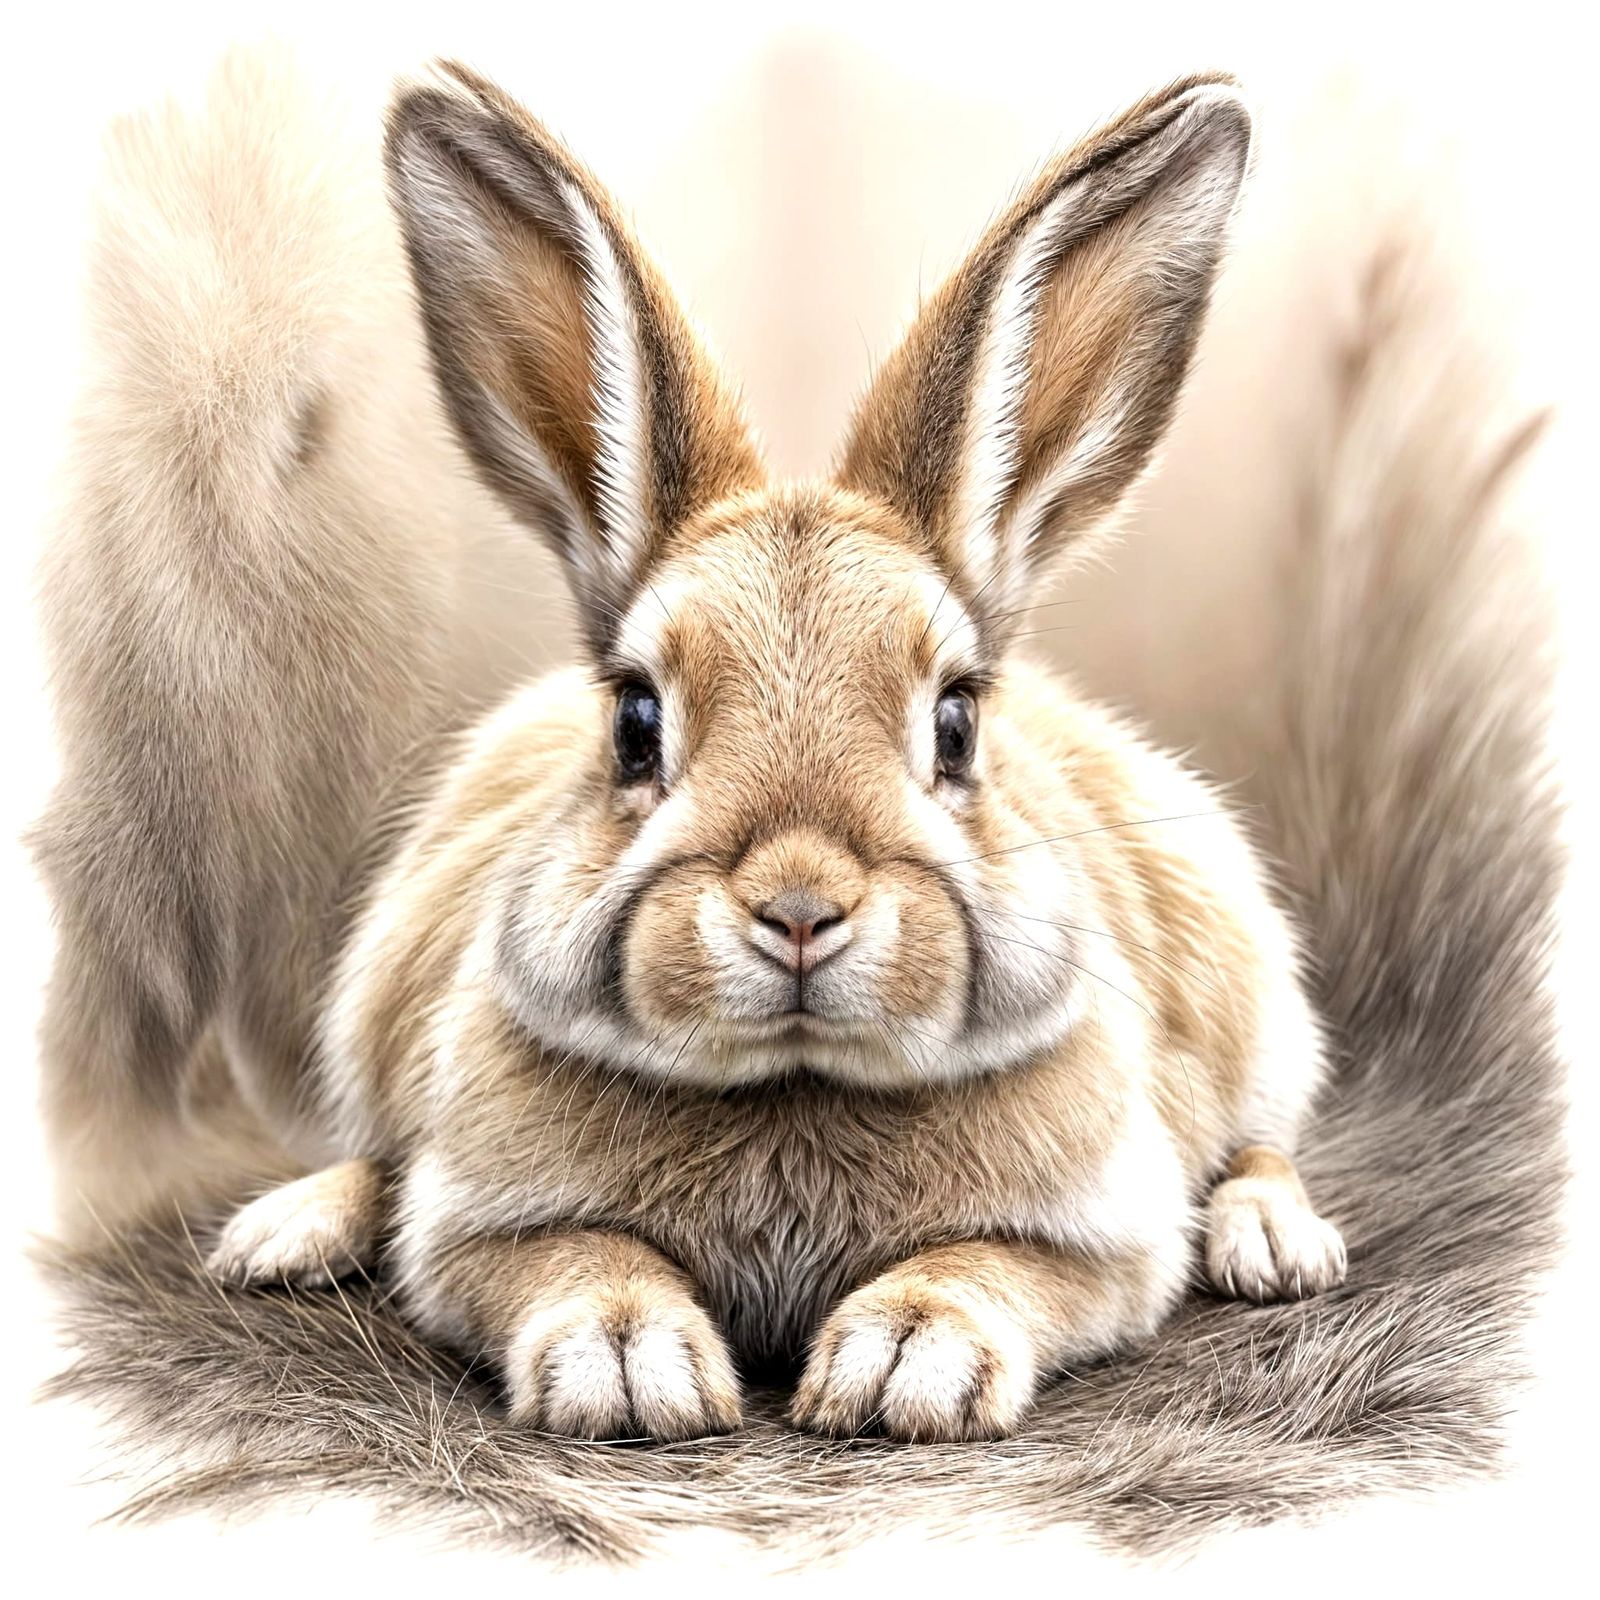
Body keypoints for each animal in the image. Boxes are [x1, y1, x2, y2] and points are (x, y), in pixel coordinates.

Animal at [44, 55, 1346, 1445]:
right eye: (634, 719)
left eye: (954, 721)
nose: (798, 907)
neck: (789, 1085)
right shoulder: (479, 1228)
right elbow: (565, 1255)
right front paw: (628, 1367)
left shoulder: (1105, 1237)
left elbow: (992, 1266)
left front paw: (904, 1363)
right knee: (376, 1153)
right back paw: (281, 1233)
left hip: (1253, 1000)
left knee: (1261, 1139)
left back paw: (1278, 1247)